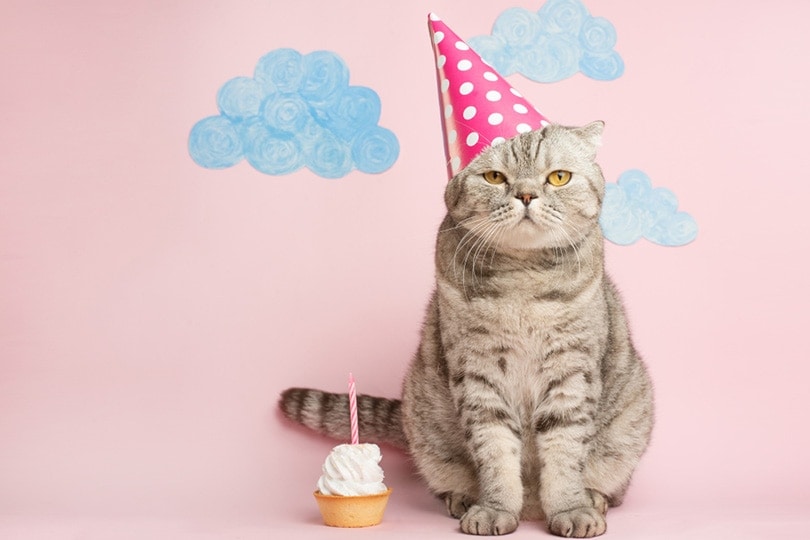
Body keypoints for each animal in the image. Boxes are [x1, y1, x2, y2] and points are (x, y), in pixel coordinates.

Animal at [278, 122, 652, 536]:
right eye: (495, 177)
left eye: (558, 177)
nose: (526, 194)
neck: (523, 282)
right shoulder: (478, 375)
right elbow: (495, 451)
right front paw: (494, 508)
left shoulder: (570, 373)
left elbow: (565, 451)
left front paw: (572, 507)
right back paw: (462, 497)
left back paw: (594, 497)